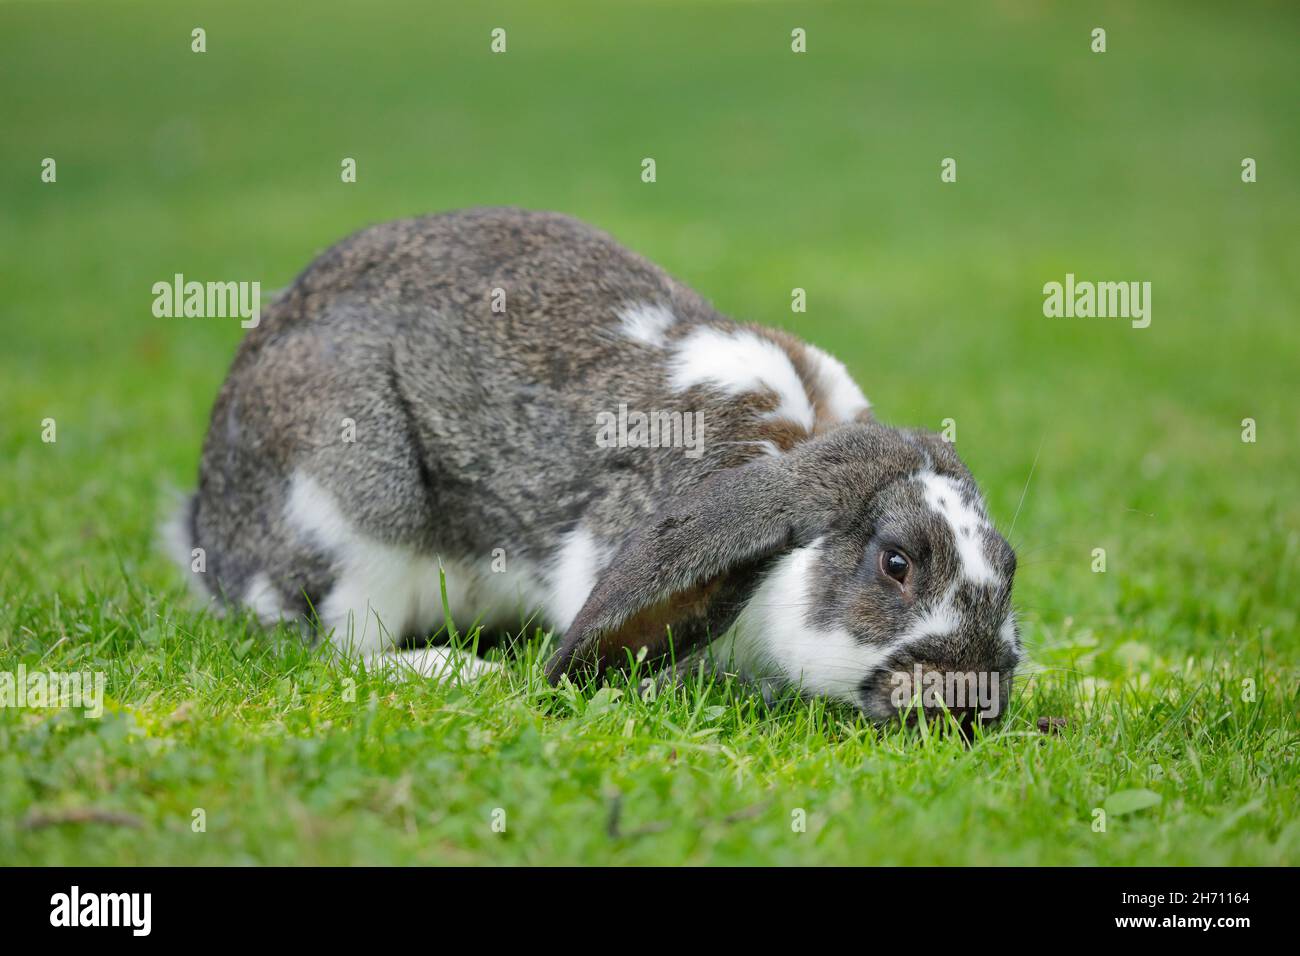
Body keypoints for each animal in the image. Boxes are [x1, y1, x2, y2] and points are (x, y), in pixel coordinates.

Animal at [162, 205, 1019, 723]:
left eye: (1009, 564)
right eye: (897, 563)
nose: (971, 692)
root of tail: (211, 534)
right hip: (353, 511)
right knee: (343, 646)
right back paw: (459, 671)